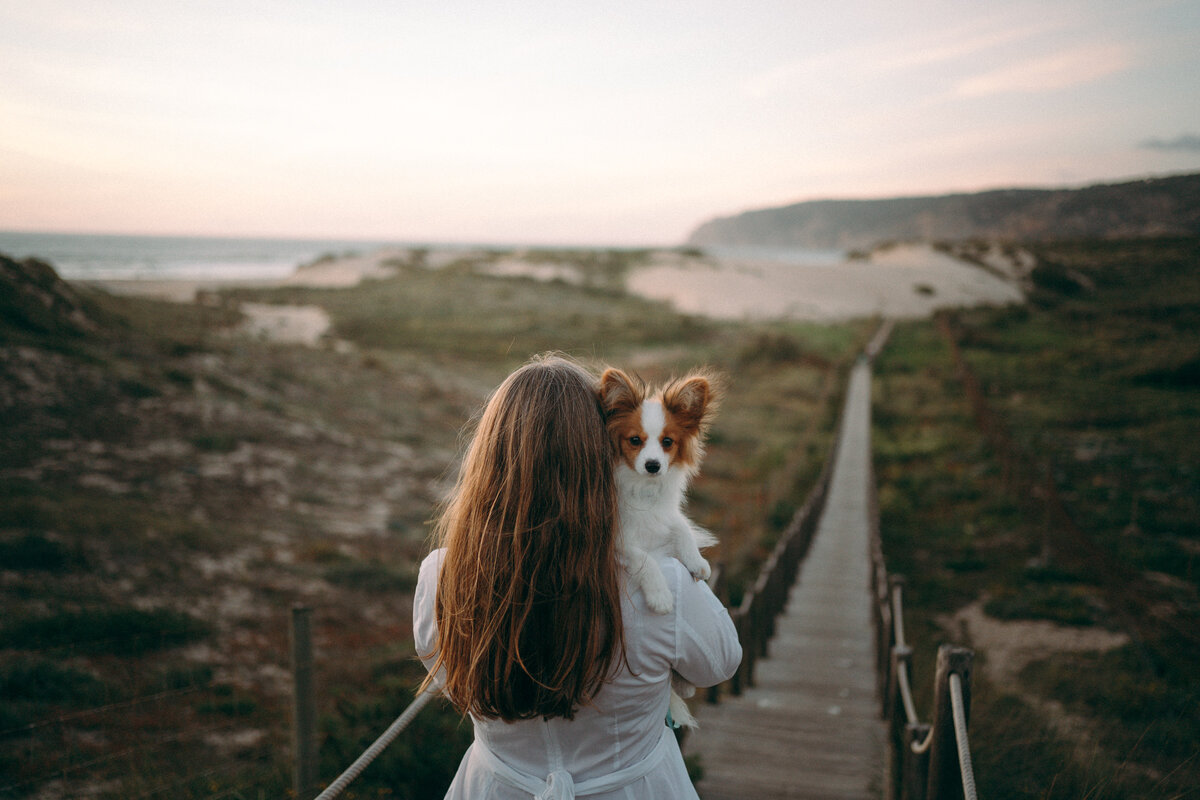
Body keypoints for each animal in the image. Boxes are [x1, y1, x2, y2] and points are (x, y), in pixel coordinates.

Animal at [597, 367, 715, 729]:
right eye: (634, 441)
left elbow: (681, 528)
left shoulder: (667, 516)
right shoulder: (619, 541)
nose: (653, 465)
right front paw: (661, 596)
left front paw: (695, 561)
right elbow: (645, 559)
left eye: (667, 442)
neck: (644, 490)